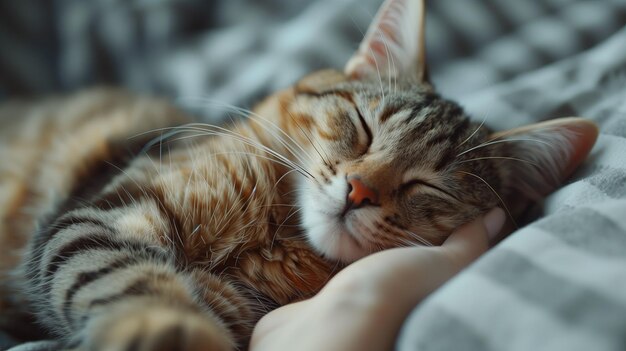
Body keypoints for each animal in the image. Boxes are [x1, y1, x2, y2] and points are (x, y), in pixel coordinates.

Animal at [0, 0, 596, 350]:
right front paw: (163, 327)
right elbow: (131, 279)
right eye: (364, 129)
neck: (273, 233)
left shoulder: (234, 304)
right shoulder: (104, 212)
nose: (358, 190)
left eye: (426, 185)